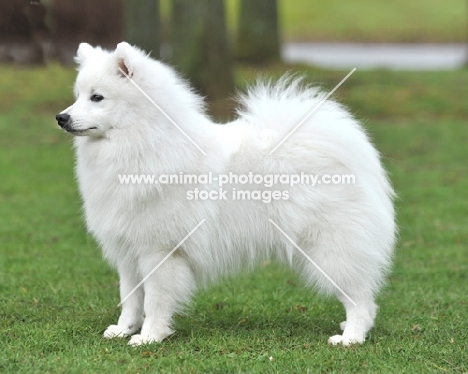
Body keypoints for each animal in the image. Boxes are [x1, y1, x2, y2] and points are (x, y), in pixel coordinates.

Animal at [57, 42, 394, 346]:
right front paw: (124, 329)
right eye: (77, 96)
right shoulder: (128, 250)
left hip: (330, 249)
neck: (145, 143)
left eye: (97, 97)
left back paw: (351, 337)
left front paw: (149, 337)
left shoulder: (160, 251)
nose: (61, 117)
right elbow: (129, 297)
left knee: (360, 298)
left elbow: (154, 300)